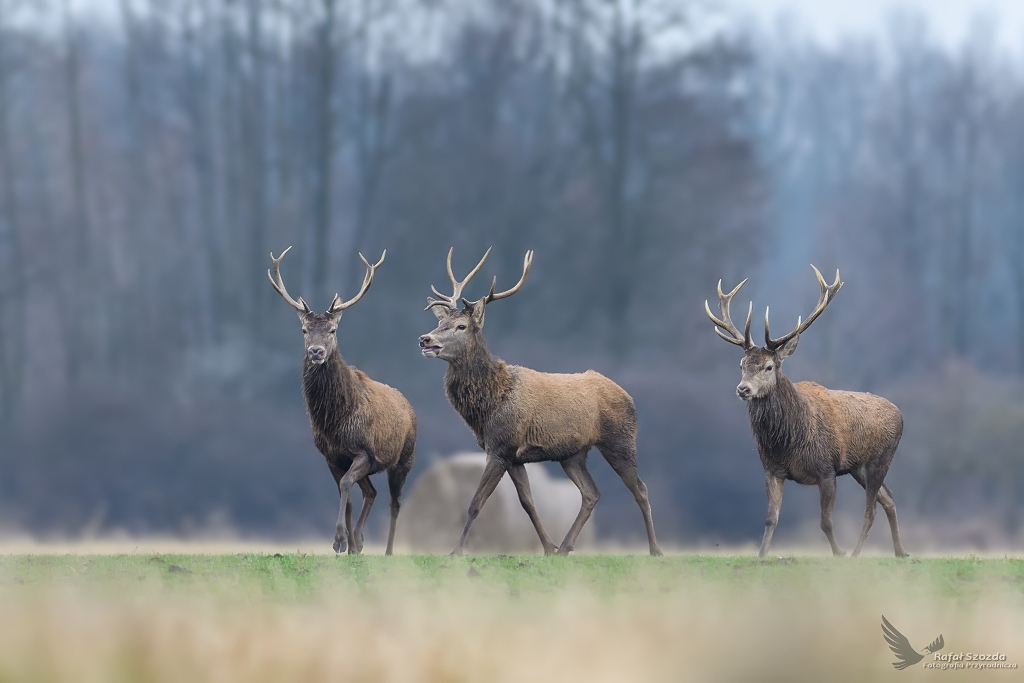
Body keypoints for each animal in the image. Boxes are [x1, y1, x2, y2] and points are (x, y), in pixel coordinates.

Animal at [272, 246, 419, 557]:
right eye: (304, 330)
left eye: (332, 330)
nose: (316, 352)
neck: (335, 420)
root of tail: (409, 406)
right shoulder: (332, 456)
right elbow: (346, 492)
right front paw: (349, 544)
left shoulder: (365, 451)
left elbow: (346, 484)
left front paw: (340, 539)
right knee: (370, 491)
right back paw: (359, 541)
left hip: (405, 457)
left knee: (395, 502)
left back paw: (388, 551)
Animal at [417, 248, 663, 557]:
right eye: (440, 323)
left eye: (461, 326)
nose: (425, 339)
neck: (489, 405)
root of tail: (629, 396)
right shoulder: (513, 457)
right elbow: (527, 503)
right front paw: (548, 547)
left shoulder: (501, 447)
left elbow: (475, 503)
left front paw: (456, 551)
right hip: (572, 454)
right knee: (591, 493)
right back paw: (565, 547)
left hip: (620, 440)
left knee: (640, 488)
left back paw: (655, 549)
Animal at [708, 264, 909, 557]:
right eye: (742, 364)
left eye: (769, 366)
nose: (743, 389)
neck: (788, 441)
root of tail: (901, 414)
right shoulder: (772, 470)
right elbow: (771, 519)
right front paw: (761, 555)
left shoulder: (826, 469)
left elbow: (825, 522)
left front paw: (838, 553)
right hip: (857, 467)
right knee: (889, 498)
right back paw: (900, 551)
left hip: (881, 458)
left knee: (871, 508)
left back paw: (856, 553)